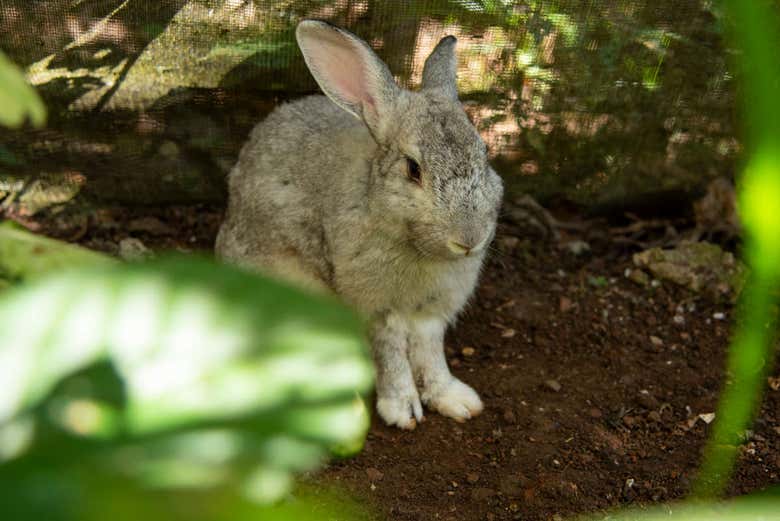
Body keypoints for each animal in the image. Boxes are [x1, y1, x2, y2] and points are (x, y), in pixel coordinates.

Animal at [216, 20, 503, 429]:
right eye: (412, 169)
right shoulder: (378, 309)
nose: (469, 239)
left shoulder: (433, 313)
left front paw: (455, 400)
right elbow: (391, 354)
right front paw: (403, 410)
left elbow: (431, 353)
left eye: (485, 154)